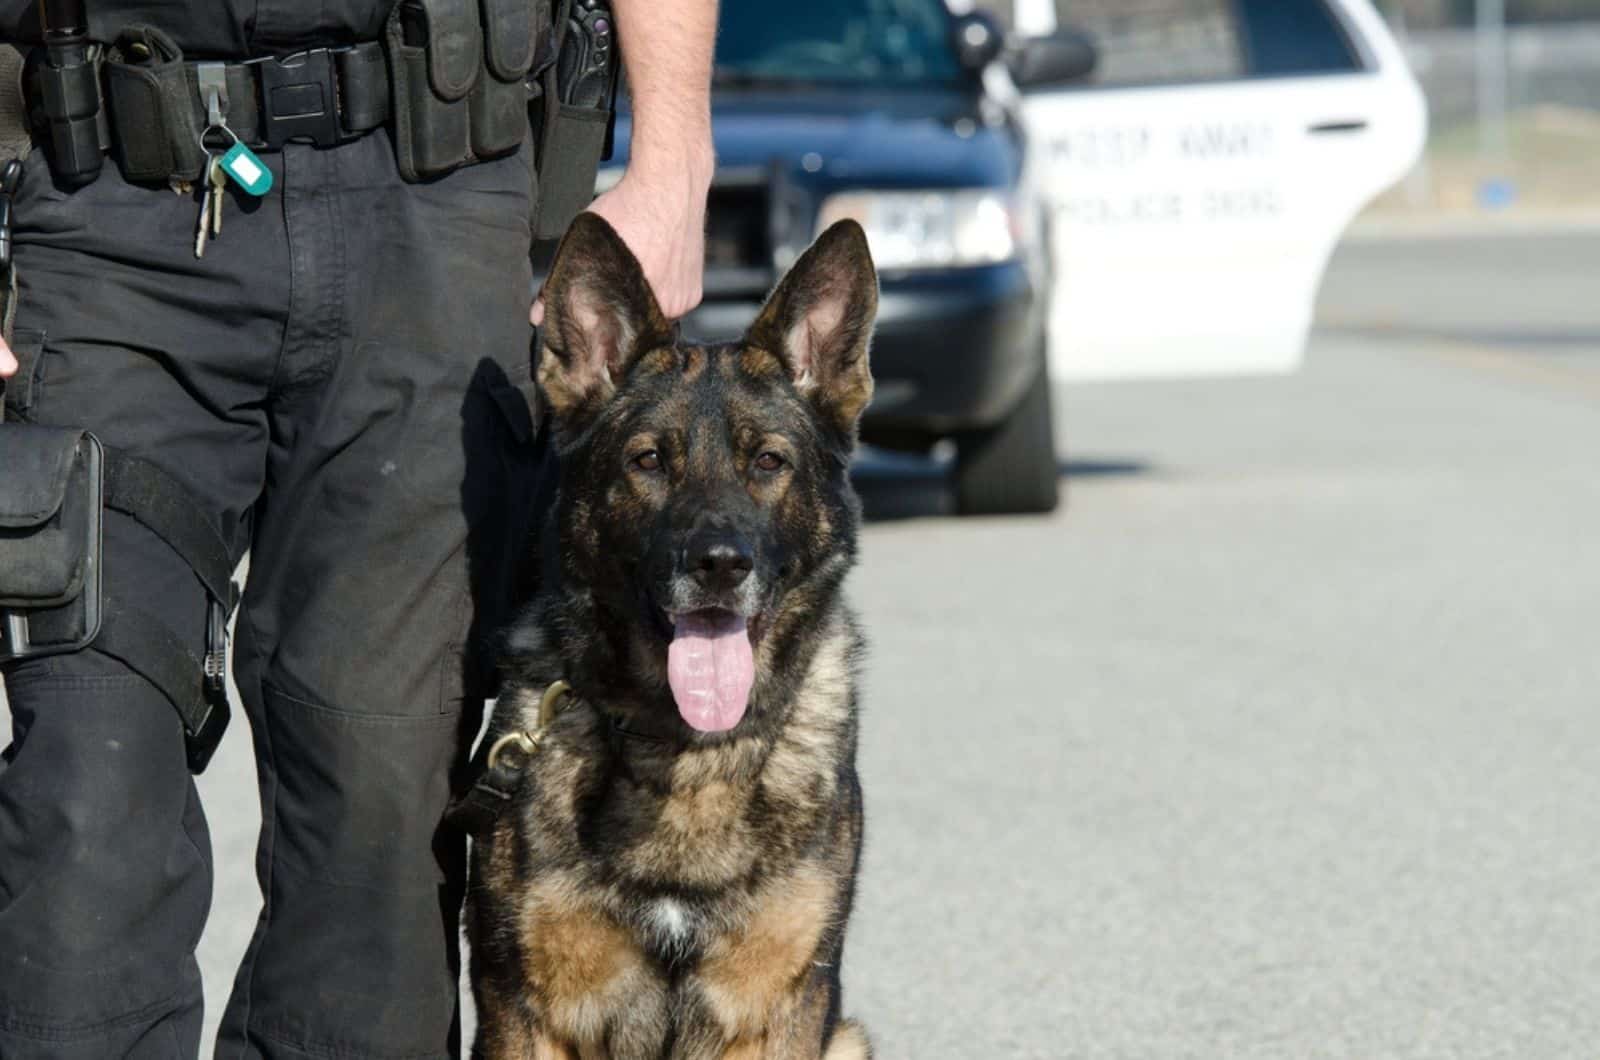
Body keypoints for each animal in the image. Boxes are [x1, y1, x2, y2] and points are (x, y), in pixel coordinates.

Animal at [467, 211, 876, 1056]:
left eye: (768, 461)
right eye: (649, 460)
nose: (719, 564)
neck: (685, 752)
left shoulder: (784, 1010)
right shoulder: (523, 1009)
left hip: (849, 1038)